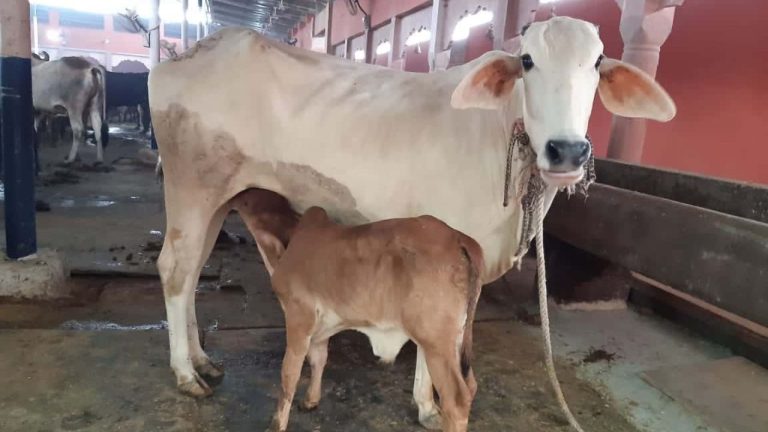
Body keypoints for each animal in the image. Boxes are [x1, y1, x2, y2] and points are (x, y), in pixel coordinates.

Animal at [149, 16, 675, 409]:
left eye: (598, 61)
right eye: (527, 61)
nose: (566, 150)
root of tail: (182, 59)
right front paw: (429, 403)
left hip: (219, 199)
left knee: (193, 271)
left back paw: (202, 360)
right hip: (192, 189)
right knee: (175, 270)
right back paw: (184, 372)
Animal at [249, 206, 484, 432]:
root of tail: (458, 239)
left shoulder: (299, 315)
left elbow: (289, 374)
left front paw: (276, 425)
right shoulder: (322, 325)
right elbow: (318, 358)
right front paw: (311, 400)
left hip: (436, 341)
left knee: (456, 399)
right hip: (454, 337)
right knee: (470, 385)